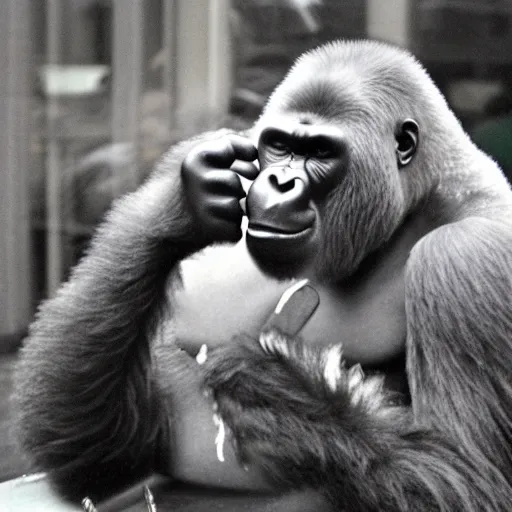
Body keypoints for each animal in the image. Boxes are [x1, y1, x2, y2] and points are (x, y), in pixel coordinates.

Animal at [12, 41, 512, 512]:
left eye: (320, 151)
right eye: (279, 145)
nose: (279, 182)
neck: (417, 198)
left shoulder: (466, 254)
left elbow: (472, 480)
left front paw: (276, 395)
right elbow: (109, 451)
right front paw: (182, 203)